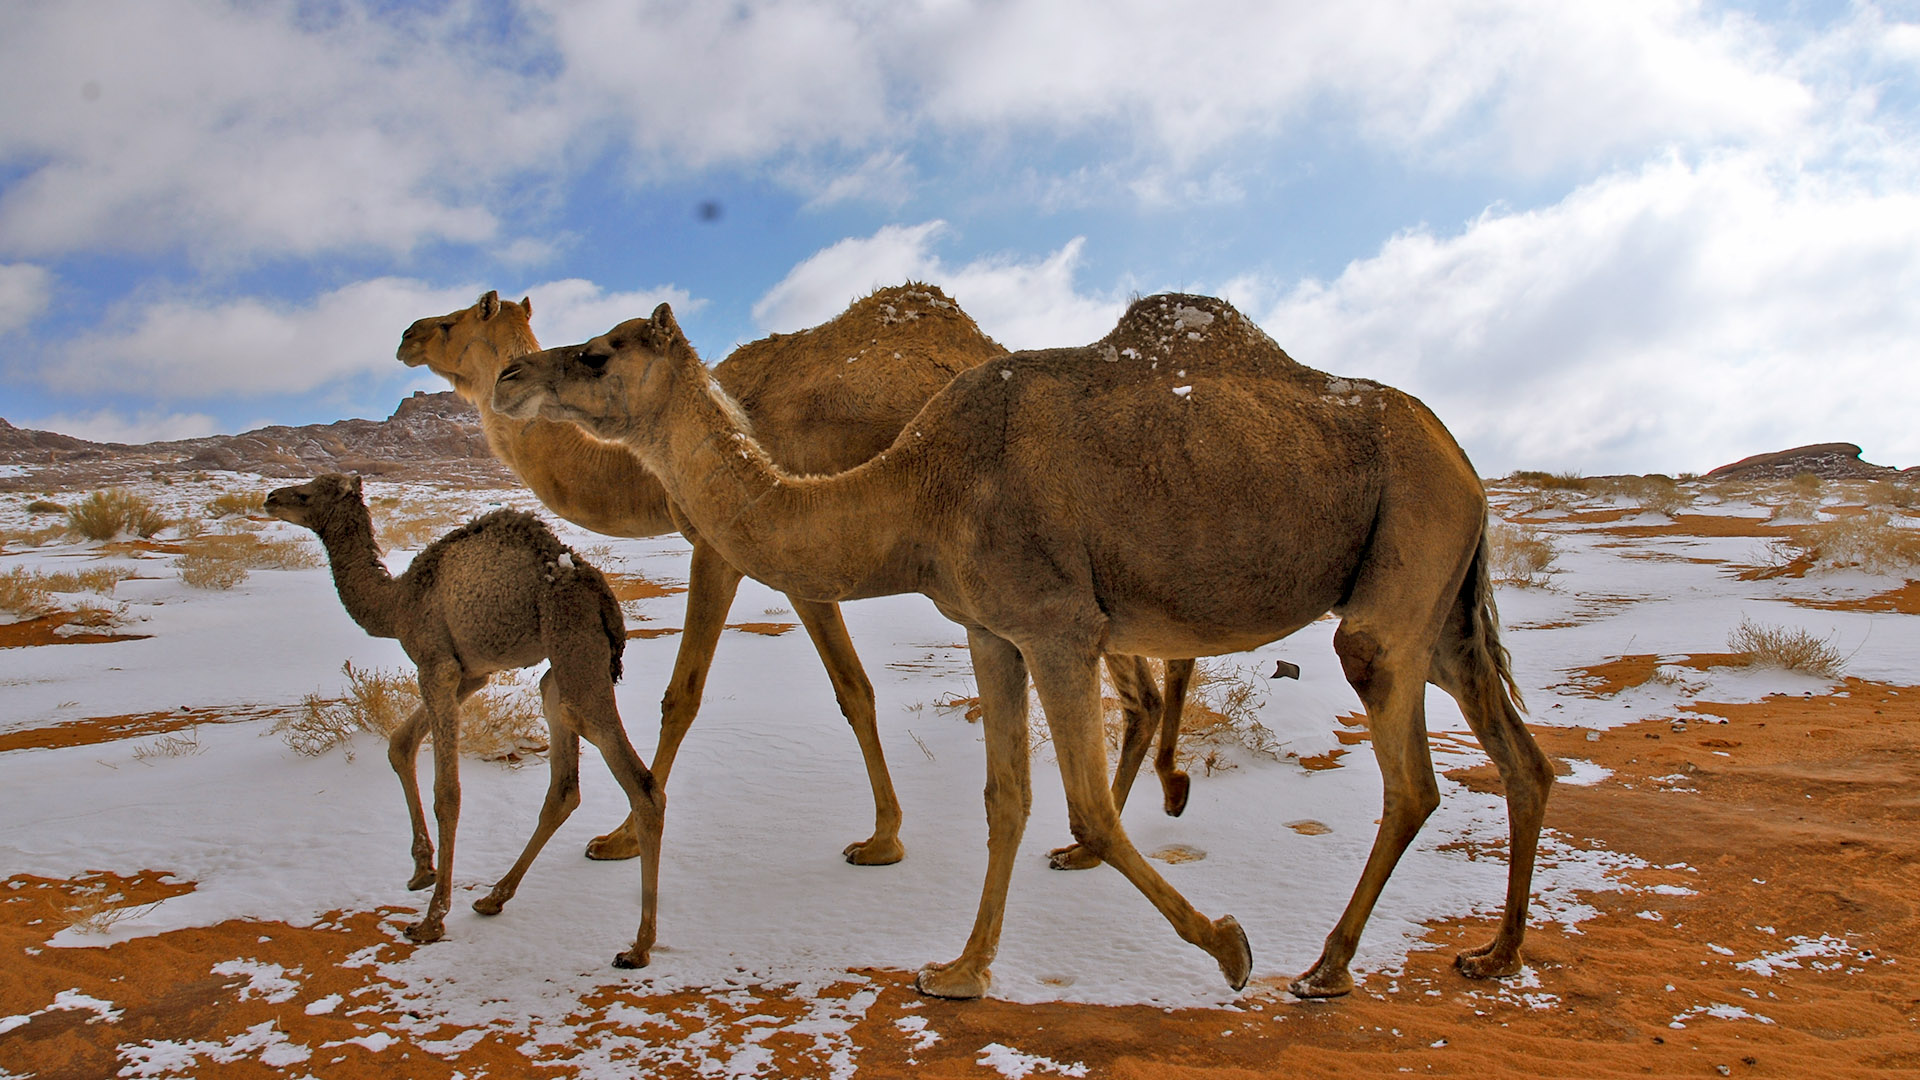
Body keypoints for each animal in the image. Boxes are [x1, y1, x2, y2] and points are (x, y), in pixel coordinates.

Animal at [264, 470, 660, 957]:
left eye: (305, 494)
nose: (270, 498)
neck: (398, 602)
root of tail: (603, 596)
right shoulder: (470, 674)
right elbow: (400, 743)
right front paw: (421, 870)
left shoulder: (436, 665)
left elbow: (447, 792)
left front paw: (431, 920)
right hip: (564, 667)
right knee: (564, 777)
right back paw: (494, 898)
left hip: (574, 647)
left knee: (640, 784)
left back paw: (638, 947)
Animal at [397, 286, 1190, 864]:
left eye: (458, 318)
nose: (406, 333)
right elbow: (850, 690)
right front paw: (885, 833)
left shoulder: (736, 549)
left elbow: (696, 694)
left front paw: (621, 837)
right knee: (1147, 681)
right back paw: (1132, 817)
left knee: (1142, 680)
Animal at [487, 294, 1551, 999]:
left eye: (599, 353)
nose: (509, 376)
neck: (921, 485)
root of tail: (1462, 457)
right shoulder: (991, 629)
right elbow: (1007, 798)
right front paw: (960, 971)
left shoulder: (1057, 624)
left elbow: (1088, 812)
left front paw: (1230, 946)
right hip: (1442, 603)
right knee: (1522, 758)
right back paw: (1492, 955)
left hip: (1401, 570)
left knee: (1410, 774)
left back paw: (1325, 966)